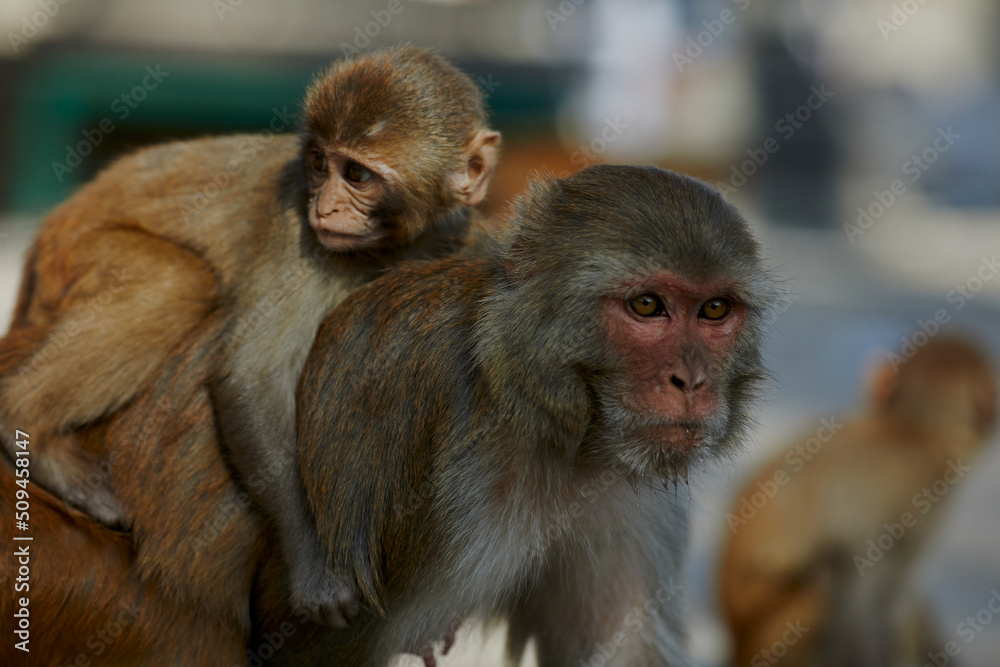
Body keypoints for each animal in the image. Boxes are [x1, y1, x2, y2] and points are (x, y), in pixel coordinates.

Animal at [0, 45, 501, 626]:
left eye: (356, 174)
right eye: (318, 164)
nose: (325, 207)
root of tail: (50, 230)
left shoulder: (451, 231)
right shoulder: (296, 229)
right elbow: (251, 377)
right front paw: (314, 566)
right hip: (78, 249)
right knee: (181, 281)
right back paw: (27, 426)